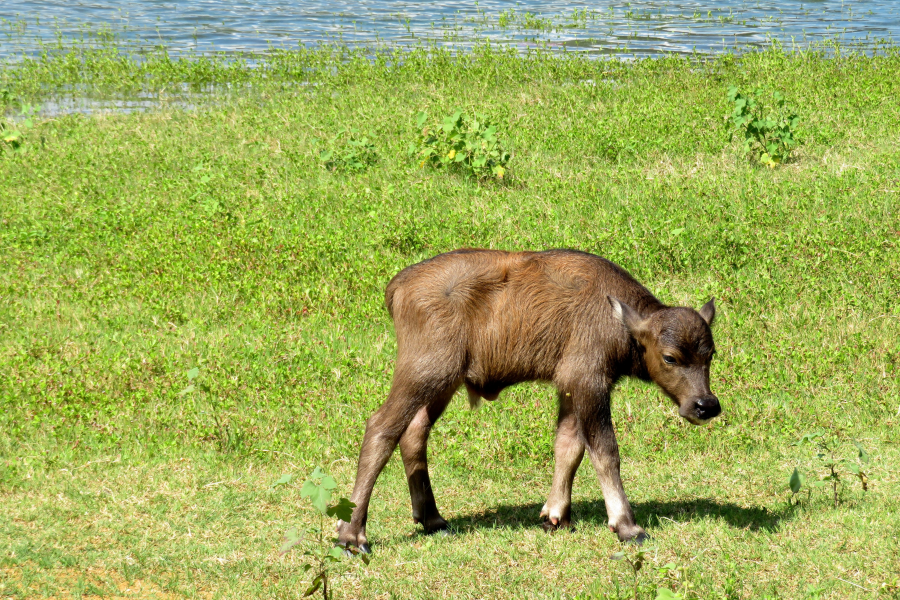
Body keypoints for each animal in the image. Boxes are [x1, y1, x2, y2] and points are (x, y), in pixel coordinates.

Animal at [334, 248, 720, 552]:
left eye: (710, 354)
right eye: (670, 357)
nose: (705, 405)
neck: (619, 321)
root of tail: (398, 285)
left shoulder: (568, 388)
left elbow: (568, 447)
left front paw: (556, 515)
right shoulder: (589, 382)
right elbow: (605, 451)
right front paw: (627, 526)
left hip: (443, 383)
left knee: (414, 433)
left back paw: (432, 519)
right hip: (425, 372)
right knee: (381, 428)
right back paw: (352, 534)